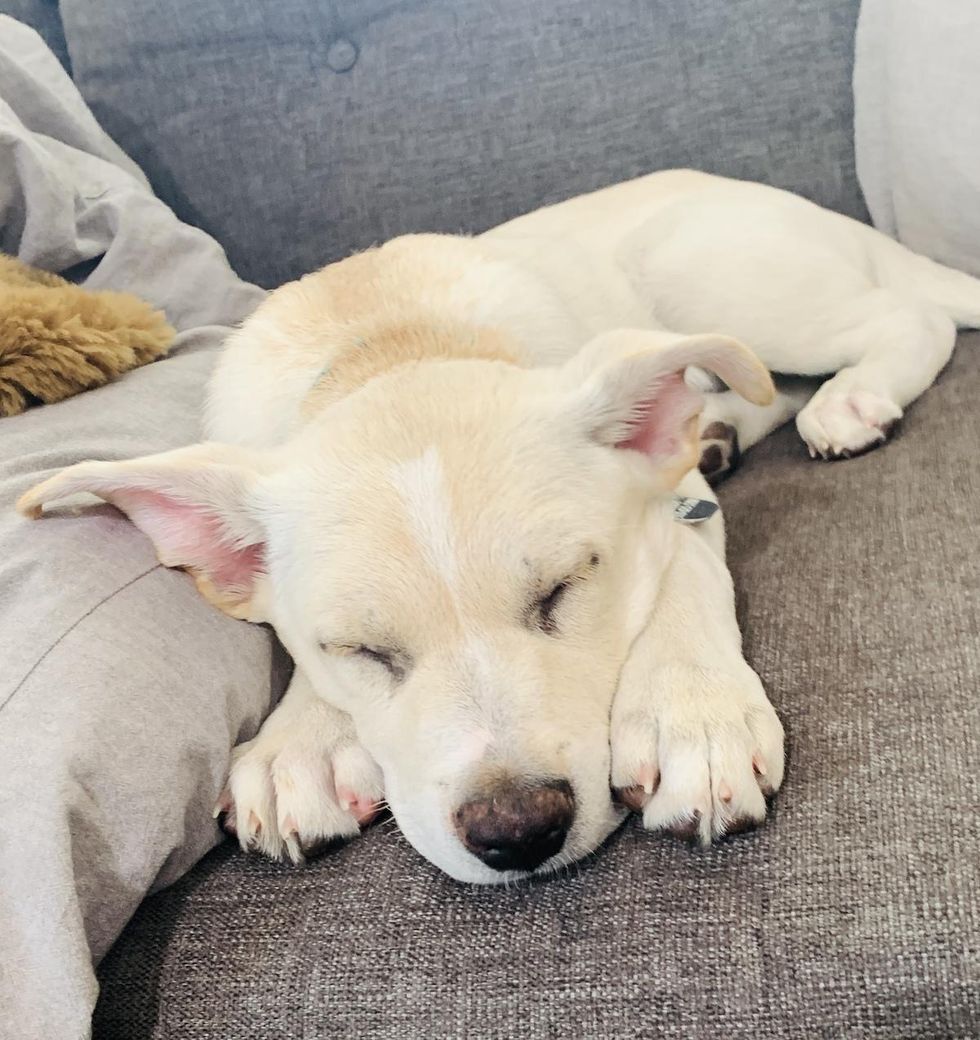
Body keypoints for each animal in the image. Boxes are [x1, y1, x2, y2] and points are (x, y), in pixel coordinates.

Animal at [21, 170, 980, 886]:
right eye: (361, 651)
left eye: (563, 588)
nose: (519, 830)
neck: (389, 346)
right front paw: (304, 741)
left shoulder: (670, 501)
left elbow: (682, 579)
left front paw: (691, 715)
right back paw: (726, 431)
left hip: (713, 278)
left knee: (907, 319)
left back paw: (854, 398)